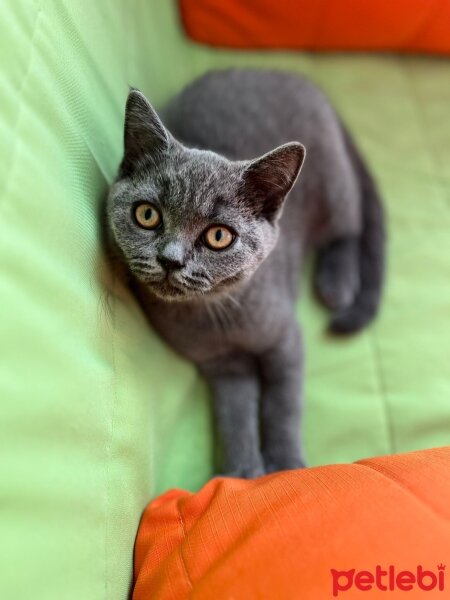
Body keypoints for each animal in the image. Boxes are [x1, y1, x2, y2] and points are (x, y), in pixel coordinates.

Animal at [105, 69, 384, 478]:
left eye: (218, 236)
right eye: (147, 215)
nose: (171, 260)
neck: (217, 316)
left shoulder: (285, 338)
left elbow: (283, 402)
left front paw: (285, 464)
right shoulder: (223, 365)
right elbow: (234, 413)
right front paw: (243, 471)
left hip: (334, 186)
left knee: (349, 225)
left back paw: (337, 282)